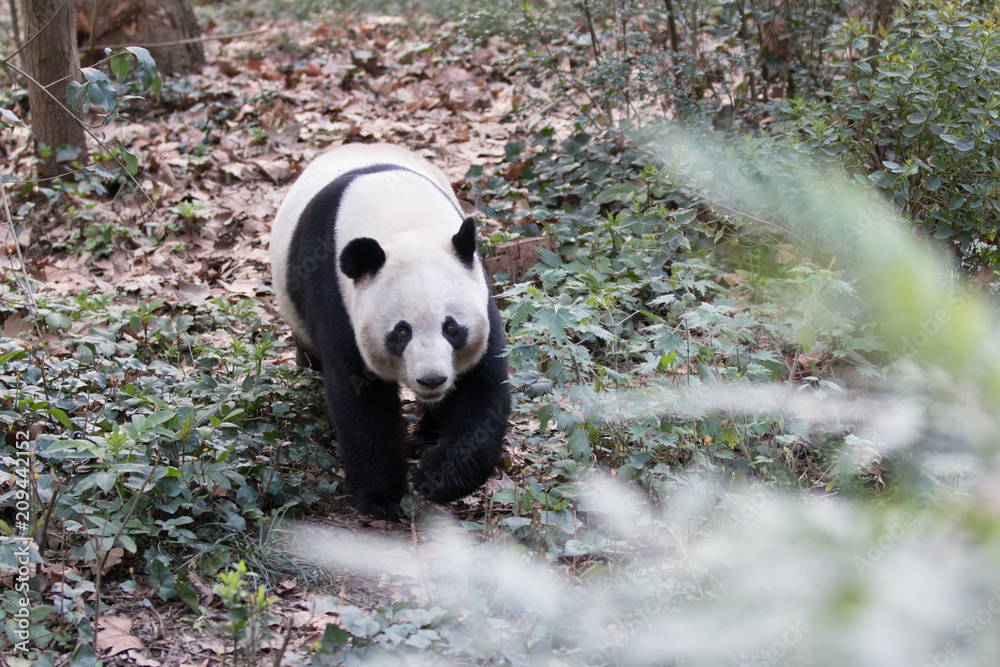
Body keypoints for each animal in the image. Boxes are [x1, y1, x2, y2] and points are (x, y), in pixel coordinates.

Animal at [268, 145, 508, 520]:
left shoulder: (477, 287)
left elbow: (481, 387)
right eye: (401, 332)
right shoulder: (336, 294)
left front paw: (435, 477)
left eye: (451, 327)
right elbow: (360, 397)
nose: (432, 379)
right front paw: (384, 497)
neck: (403, 223)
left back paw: (425, 438)